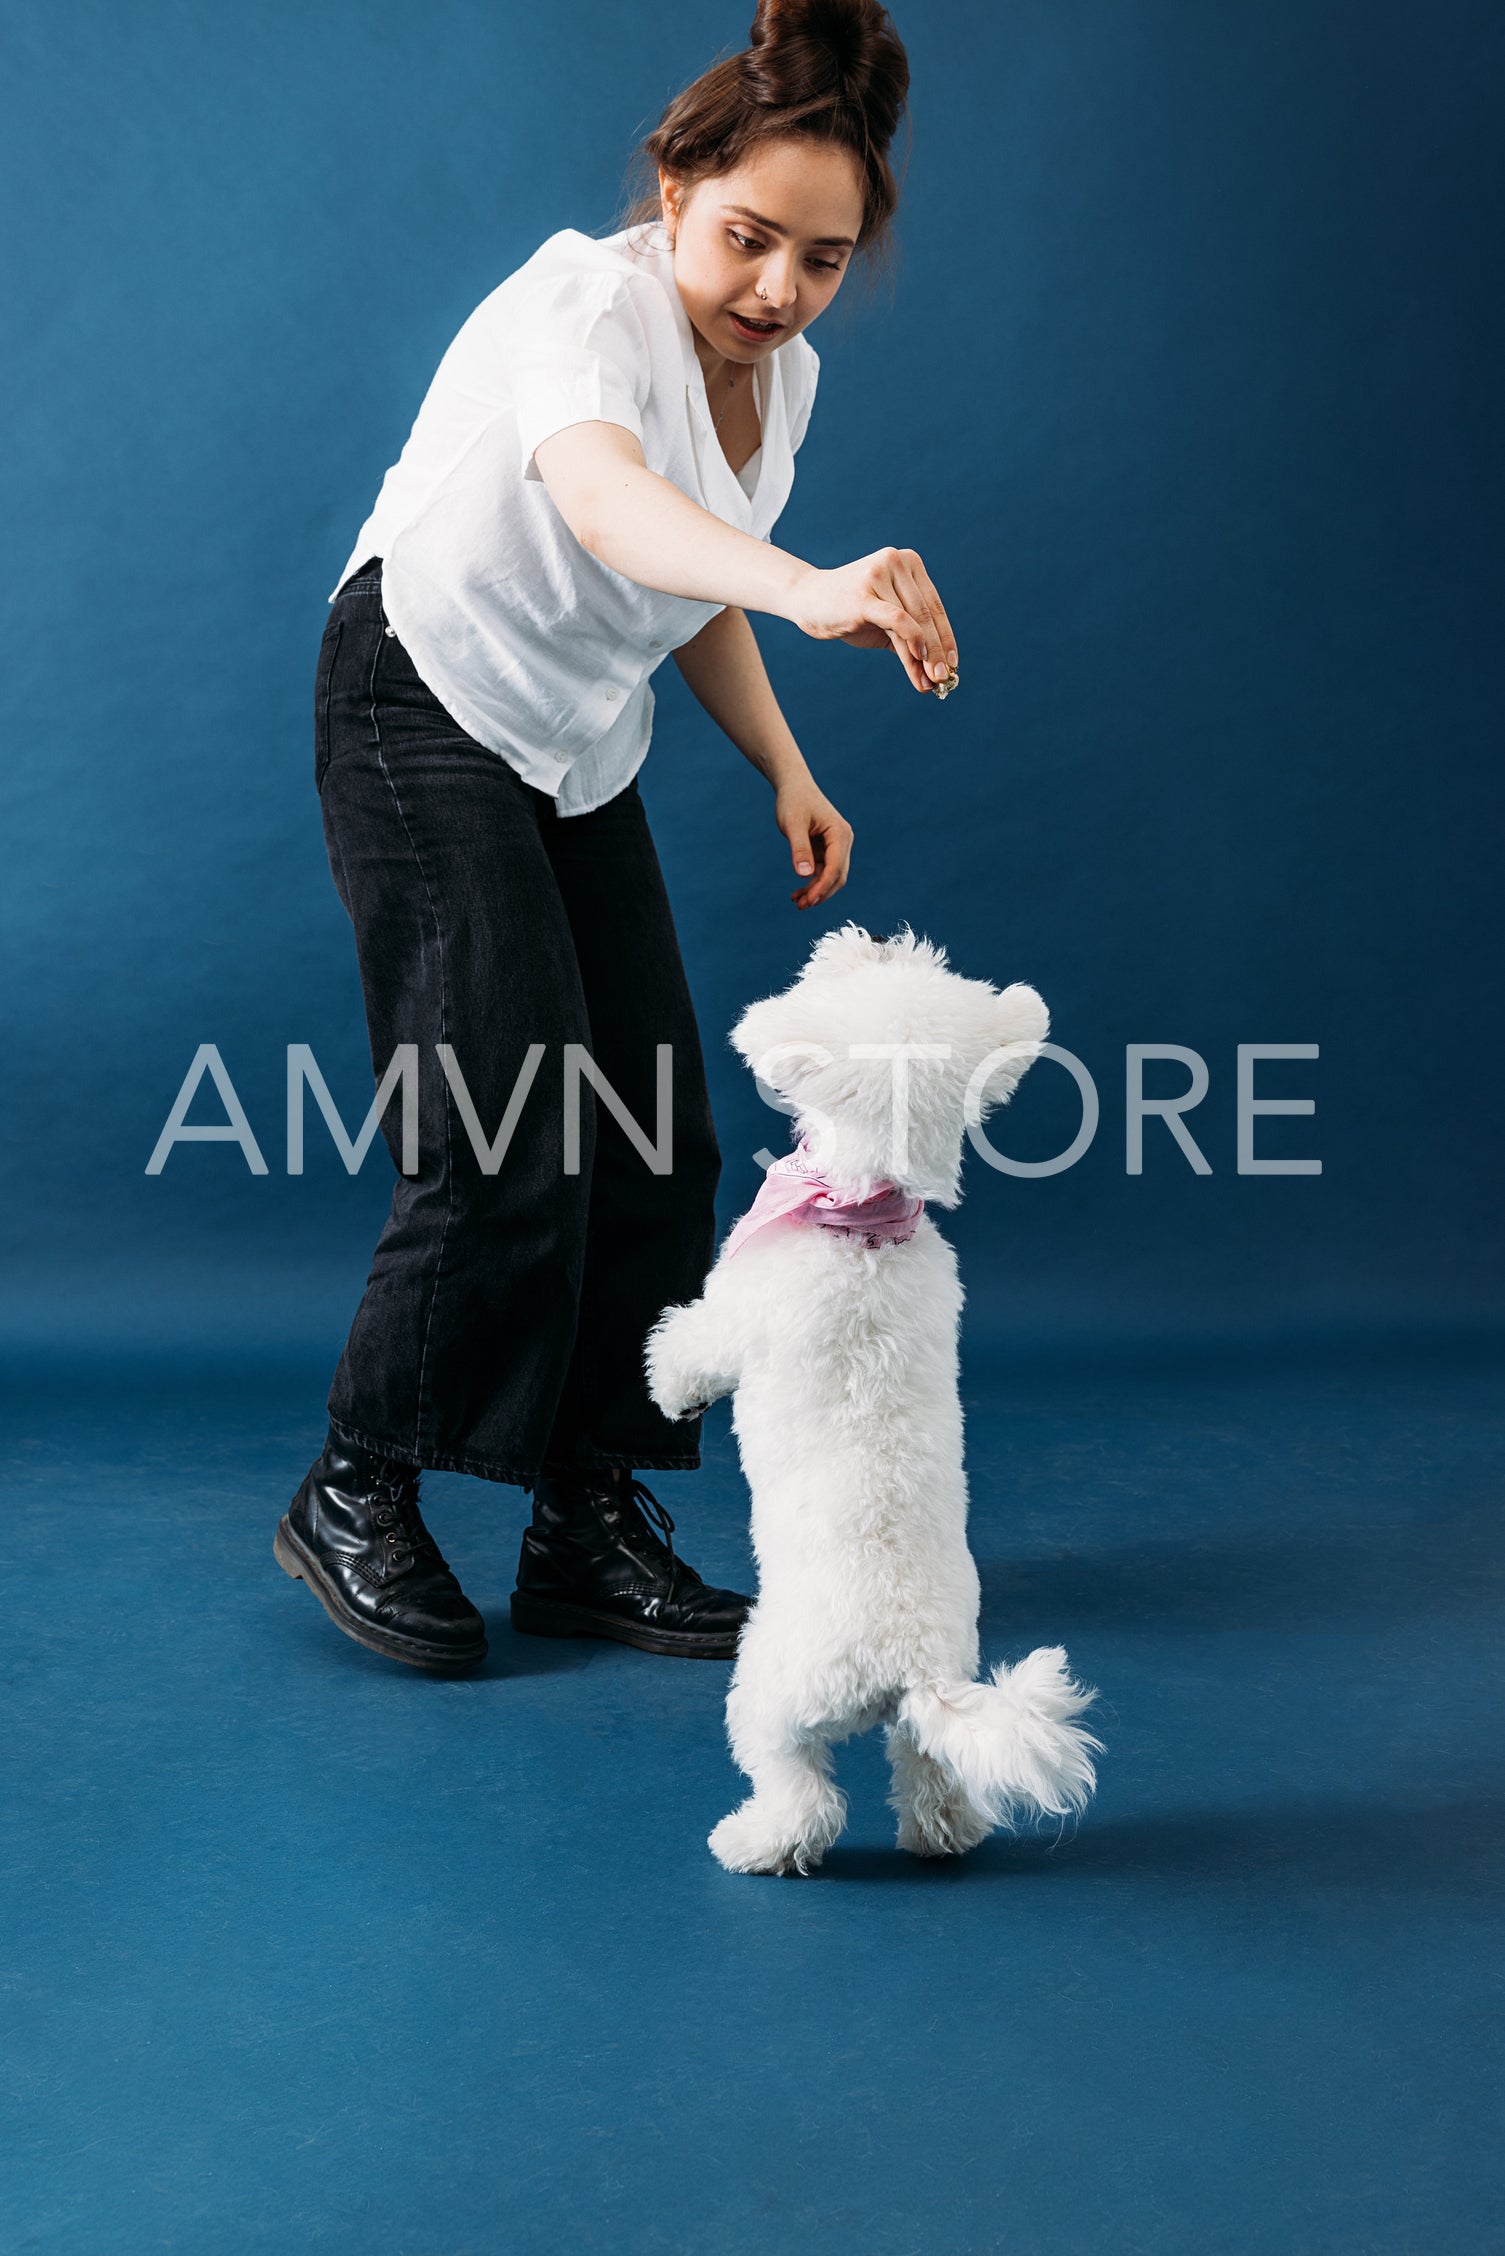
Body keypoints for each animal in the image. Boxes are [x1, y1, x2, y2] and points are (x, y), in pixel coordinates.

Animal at [640, 924, 1101, 1876]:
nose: (869, 932)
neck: (862, 1221)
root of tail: (906, 1666)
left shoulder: (740, 1313)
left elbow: (694, 1344)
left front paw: (665, 1379)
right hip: (922, 1735)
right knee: (931, 1775)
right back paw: (943, 1837)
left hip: (767, 1696)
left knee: (803, 1795)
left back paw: (752, 1841)